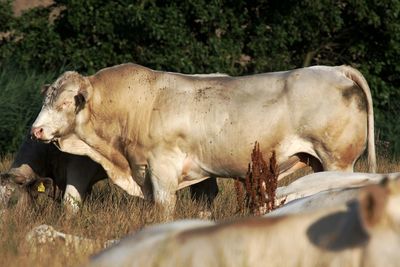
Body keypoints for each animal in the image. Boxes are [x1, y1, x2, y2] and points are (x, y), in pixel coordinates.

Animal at [30, 63, 376, 216]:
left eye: (64, 103)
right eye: (46, 99)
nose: (36, 130)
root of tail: (336, 68)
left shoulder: (162, 170)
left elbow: (163, 210)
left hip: (338, 161)